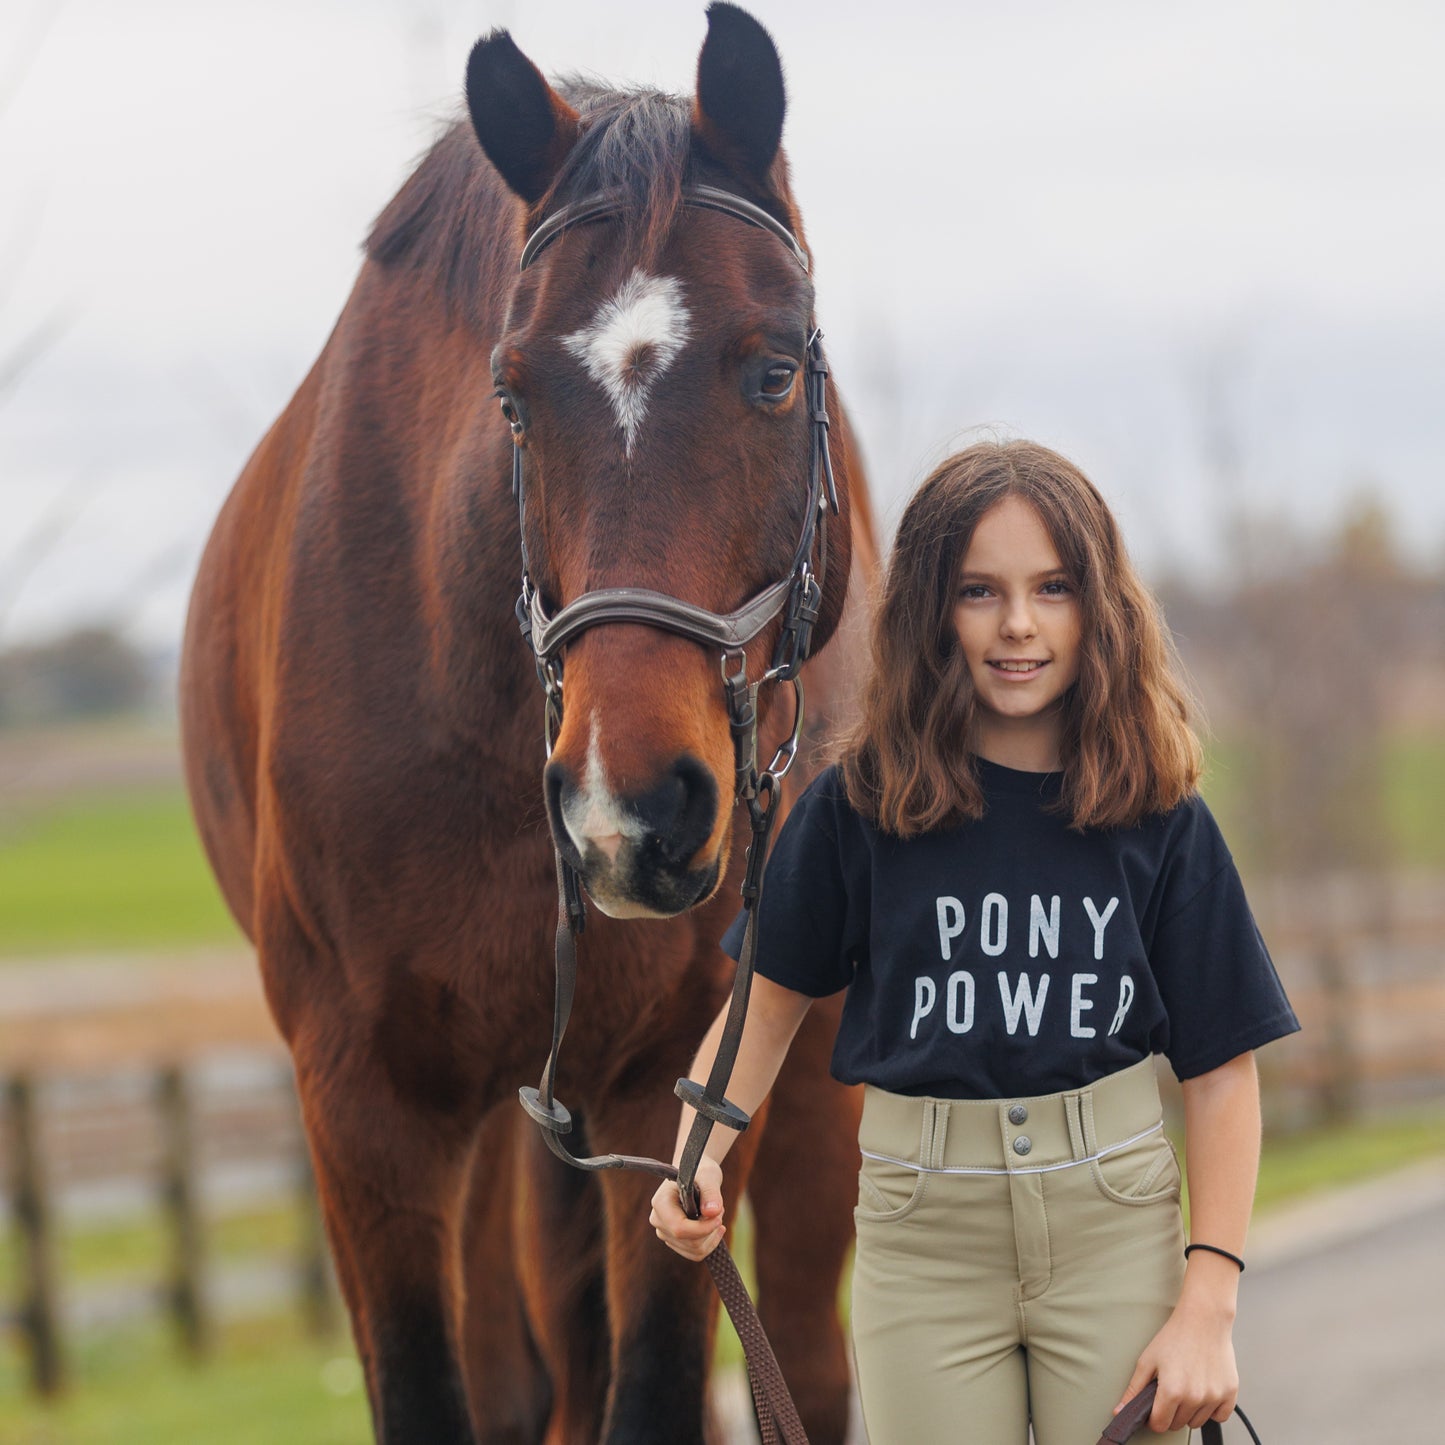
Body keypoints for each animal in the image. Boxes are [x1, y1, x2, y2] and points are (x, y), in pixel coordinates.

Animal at [180, 5, 878, 1439]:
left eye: (775, 371)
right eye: (510, 396)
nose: (629, 812)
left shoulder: (678, 1077)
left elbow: (657, 1386)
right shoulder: (365, 1102)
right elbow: (438, 1392)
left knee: (801, 1351)